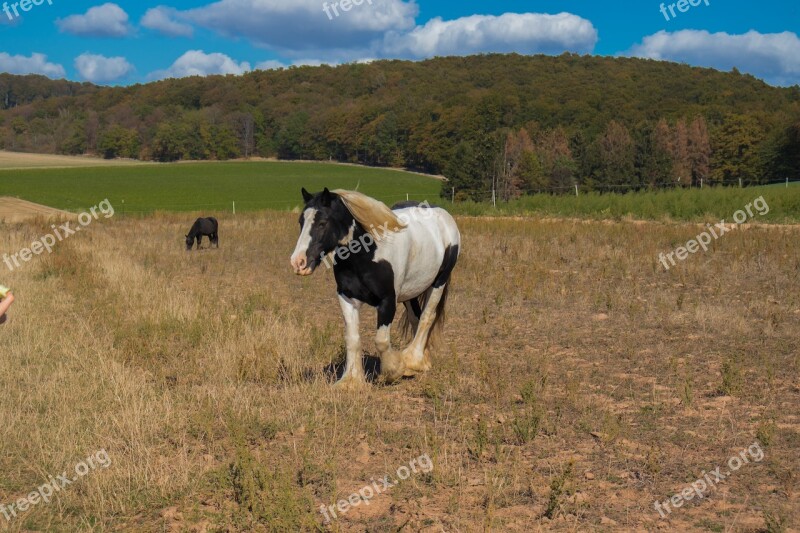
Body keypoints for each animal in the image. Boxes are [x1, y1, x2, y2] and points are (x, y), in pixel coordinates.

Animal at [290, 188, 460, 386]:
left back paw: (413, 361)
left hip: (439, 281)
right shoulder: (346, 297)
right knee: (415, 318)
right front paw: (351, 381)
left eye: (322, 223)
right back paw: (420, 361)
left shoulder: (387, 301)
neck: (368, 253)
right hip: (411, 291)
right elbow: (352, 338)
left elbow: (381, 340)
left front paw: (393, 371)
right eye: (301, 221)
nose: (298, 262)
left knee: (427, 317)